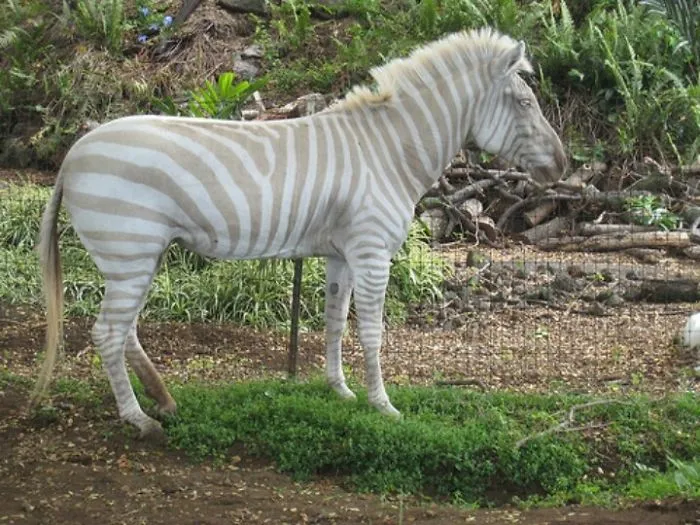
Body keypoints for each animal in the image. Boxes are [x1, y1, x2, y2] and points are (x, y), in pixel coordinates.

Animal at [31, 27, 566, 439]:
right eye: (524, 103)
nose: (562, 167)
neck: (388, 151)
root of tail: (74, 154)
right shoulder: (372, 251)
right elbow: (372, 331)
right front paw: (383, 405)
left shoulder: (341, 254)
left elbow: (334, 322)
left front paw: (341, 391)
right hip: (131, 252)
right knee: (108, 332)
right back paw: (139, 419)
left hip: (138, 256)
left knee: (125, 332)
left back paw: (163, 401)